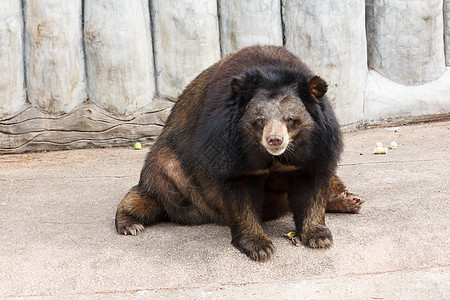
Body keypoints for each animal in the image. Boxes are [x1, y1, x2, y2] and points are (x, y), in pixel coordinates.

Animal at [114, 44, 360, 260]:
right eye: (259, 120)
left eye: (290, 119)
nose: (275, 140)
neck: (274, 157)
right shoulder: (228, 147)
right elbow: (240, 193)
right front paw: (259, 247)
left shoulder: (317, 147)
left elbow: (313, 183)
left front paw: (319, 236)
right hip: (173, 168)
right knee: (157, 188)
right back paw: (130, 224)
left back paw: (348, 200)